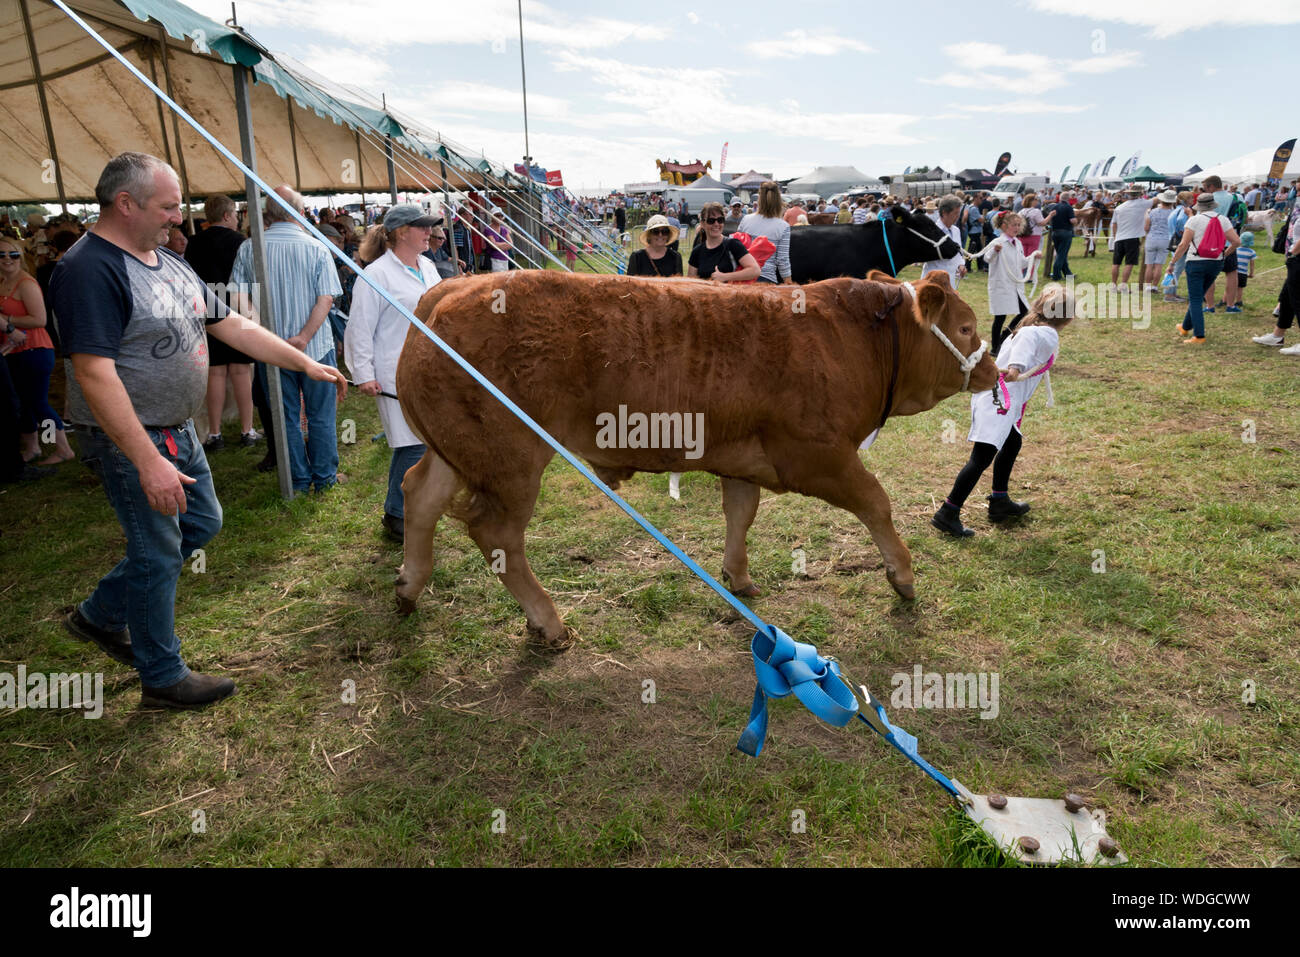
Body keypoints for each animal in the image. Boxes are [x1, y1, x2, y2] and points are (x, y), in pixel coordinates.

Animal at [393, 269, 998, 649]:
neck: (851, 339)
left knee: (418, 493)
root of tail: (448, 289)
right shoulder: (817, 455)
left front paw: (738, 576)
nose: (997, 371)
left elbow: (741, 512)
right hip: (511, 462)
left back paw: (409, 586)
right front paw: (902, 575)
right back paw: (548, 622)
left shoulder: (743, 459)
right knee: (496, 534)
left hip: (456, 454)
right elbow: (876, 501)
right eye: (967, 328)